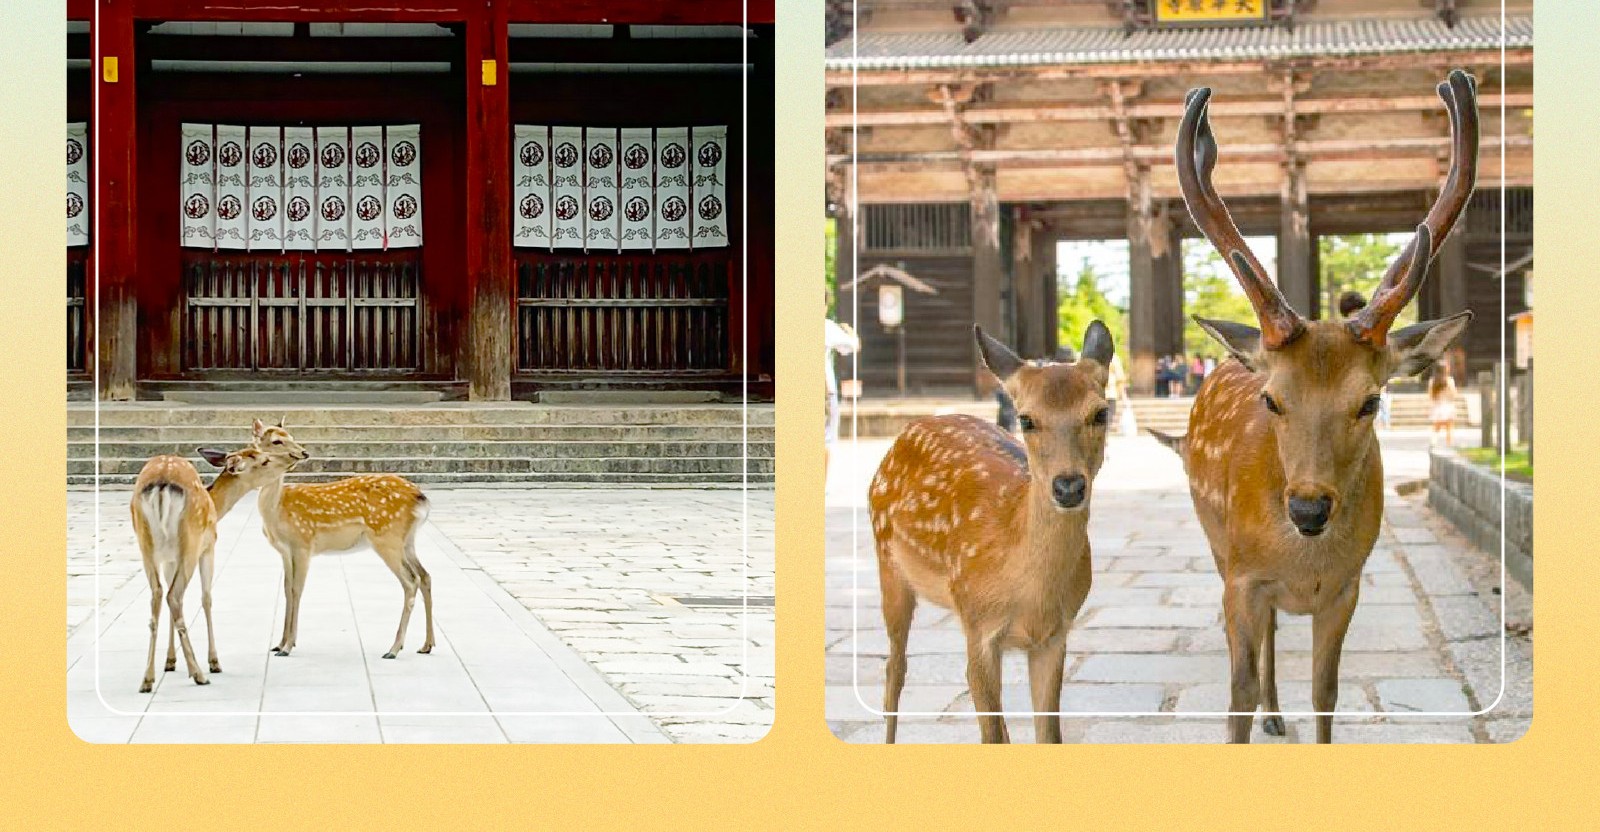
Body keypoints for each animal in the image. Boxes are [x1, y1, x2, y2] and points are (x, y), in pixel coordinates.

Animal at [130, 444, 284, 691]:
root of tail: (161, 484)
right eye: (264, 461)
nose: (289, 461)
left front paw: (170, 661)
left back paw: (147, 678)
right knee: (174, 596)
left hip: (146, 546)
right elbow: (207, 598)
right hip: (191, 541)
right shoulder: (209, 546)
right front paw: (214, 661)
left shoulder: (169, 559)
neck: (216, 506)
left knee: (158, 596)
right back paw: (199, 673)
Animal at [244, 422, 435, 662]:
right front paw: (279, 644)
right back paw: (426, 645)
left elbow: (297, 589)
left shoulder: (303, 543)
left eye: (291, 436)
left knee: (411, 581)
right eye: (277, 440)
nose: (304, 452)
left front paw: (287, 646)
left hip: (387, 537)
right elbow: (287, 589)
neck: (277, 509)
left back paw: (393, 649)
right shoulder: (285, 550)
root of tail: (421, 498)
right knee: (425, 575)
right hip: (407, 540)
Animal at [876, 321, 1113, 745]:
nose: (1068, 486)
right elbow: (990, 734)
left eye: (1100, 413)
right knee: (895, 668)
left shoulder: (1055, 636)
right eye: (1026, 419)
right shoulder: (978, 624)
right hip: (888, 564)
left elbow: (1047, 735)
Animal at [1171, 70, 1478, 742]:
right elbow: (1234, 695)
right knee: (1259, 636)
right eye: (1272, 399)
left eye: (1369, 401)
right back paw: (1268, 713)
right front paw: (1249, 715)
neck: (1303, 562)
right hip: (1215, 546)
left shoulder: (1345, 588)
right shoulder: (1241, 578)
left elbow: (1326, 692)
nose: (1309, 508)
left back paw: (1277, 714)